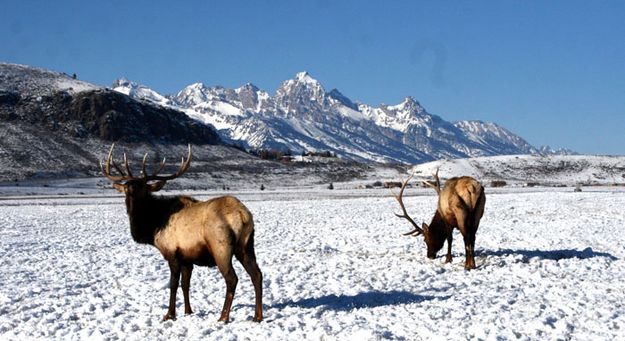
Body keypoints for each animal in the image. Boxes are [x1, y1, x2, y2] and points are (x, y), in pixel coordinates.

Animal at [101, 143, 262, 322]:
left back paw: (223, 317)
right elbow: (186, 285)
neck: (153, 225)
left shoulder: (172, 253)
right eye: (126, 189)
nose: (132, 203)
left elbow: (173, 284)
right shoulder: (187, 258)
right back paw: (257, 316)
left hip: (221, 247)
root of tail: (243, 215)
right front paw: (188, 311)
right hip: (246, 245)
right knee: (257, 275)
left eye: (143, 188)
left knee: (232, 279)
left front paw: (169, 314)